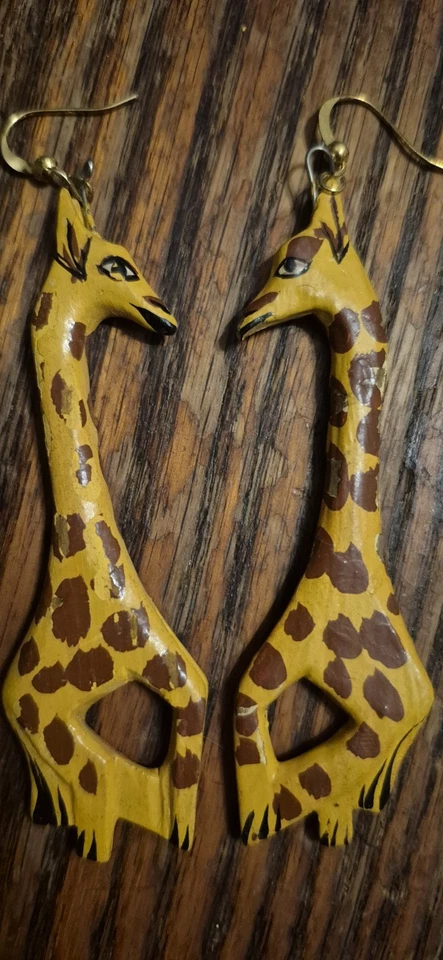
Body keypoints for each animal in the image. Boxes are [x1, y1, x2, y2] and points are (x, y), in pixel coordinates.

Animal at [2, 188, 207, 861]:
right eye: (116, 266)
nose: (166, 317)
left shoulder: (176, 673)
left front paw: (182, 830)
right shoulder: (158, 659)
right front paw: (183, 835)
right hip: (55, 740)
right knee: (94, 788)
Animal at [235, 190, 434, 847]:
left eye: (292, 263)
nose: (245, 322)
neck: (346, 555)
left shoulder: (399, 702)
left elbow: (328, 770)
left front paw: (316, 815)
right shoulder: (273, 669)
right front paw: (267, 812)